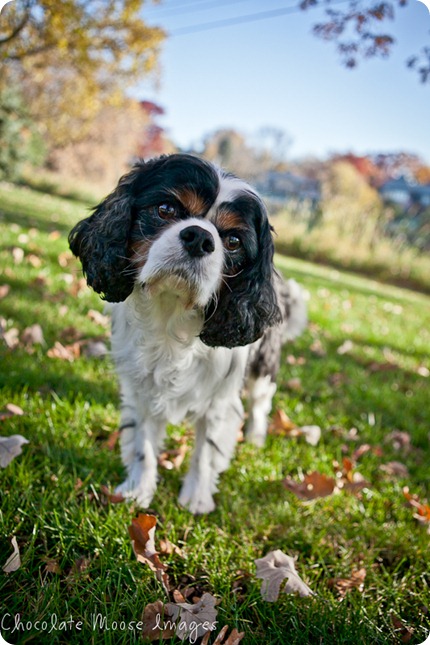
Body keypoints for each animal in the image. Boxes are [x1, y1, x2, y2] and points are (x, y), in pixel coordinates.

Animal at [69, 152, 306, 512]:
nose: (199, 238)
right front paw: (138, 490)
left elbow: (206, 452)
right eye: (165, 210)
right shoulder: (142, 391)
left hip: (264, 368)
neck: (171, 315)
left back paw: (255, 437)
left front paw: (196, 497)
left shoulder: (219, 402)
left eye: (233, 241)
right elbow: (144, 445)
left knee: (260, 403)